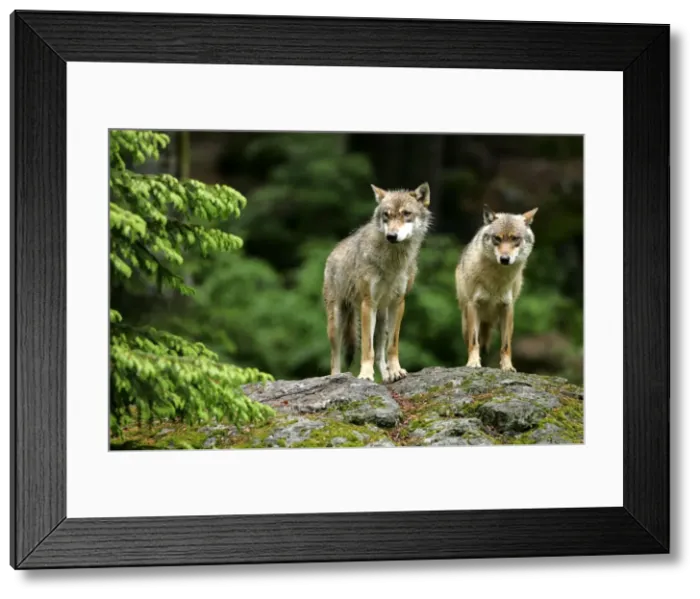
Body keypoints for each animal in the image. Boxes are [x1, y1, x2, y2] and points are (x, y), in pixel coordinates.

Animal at [323, 182, 433, 382]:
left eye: (406, 214)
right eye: (386, 215)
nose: (392, 236)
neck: (392, 262)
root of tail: (333, 251)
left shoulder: (398, 303)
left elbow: (392, 346)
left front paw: (396, 370)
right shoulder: (368, 304)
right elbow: (367, 348)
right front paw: (365, 375)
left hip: (382, 318)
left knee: (381, 350)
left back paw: (387, 375)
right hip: (336, 323)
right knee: (335, 357)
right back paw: (336, 376)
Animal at [455, 204, 538, 372]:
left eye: (515, 239)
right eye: (497, 238)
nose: (504, 259)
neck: (497, 280)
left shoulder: (508, 307)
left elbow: (506, 345)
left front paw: (507, 367)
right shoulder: (473, 305)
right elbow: (474, 342)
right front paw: (473, 363)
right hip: (466, 322)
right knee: (472, 341)